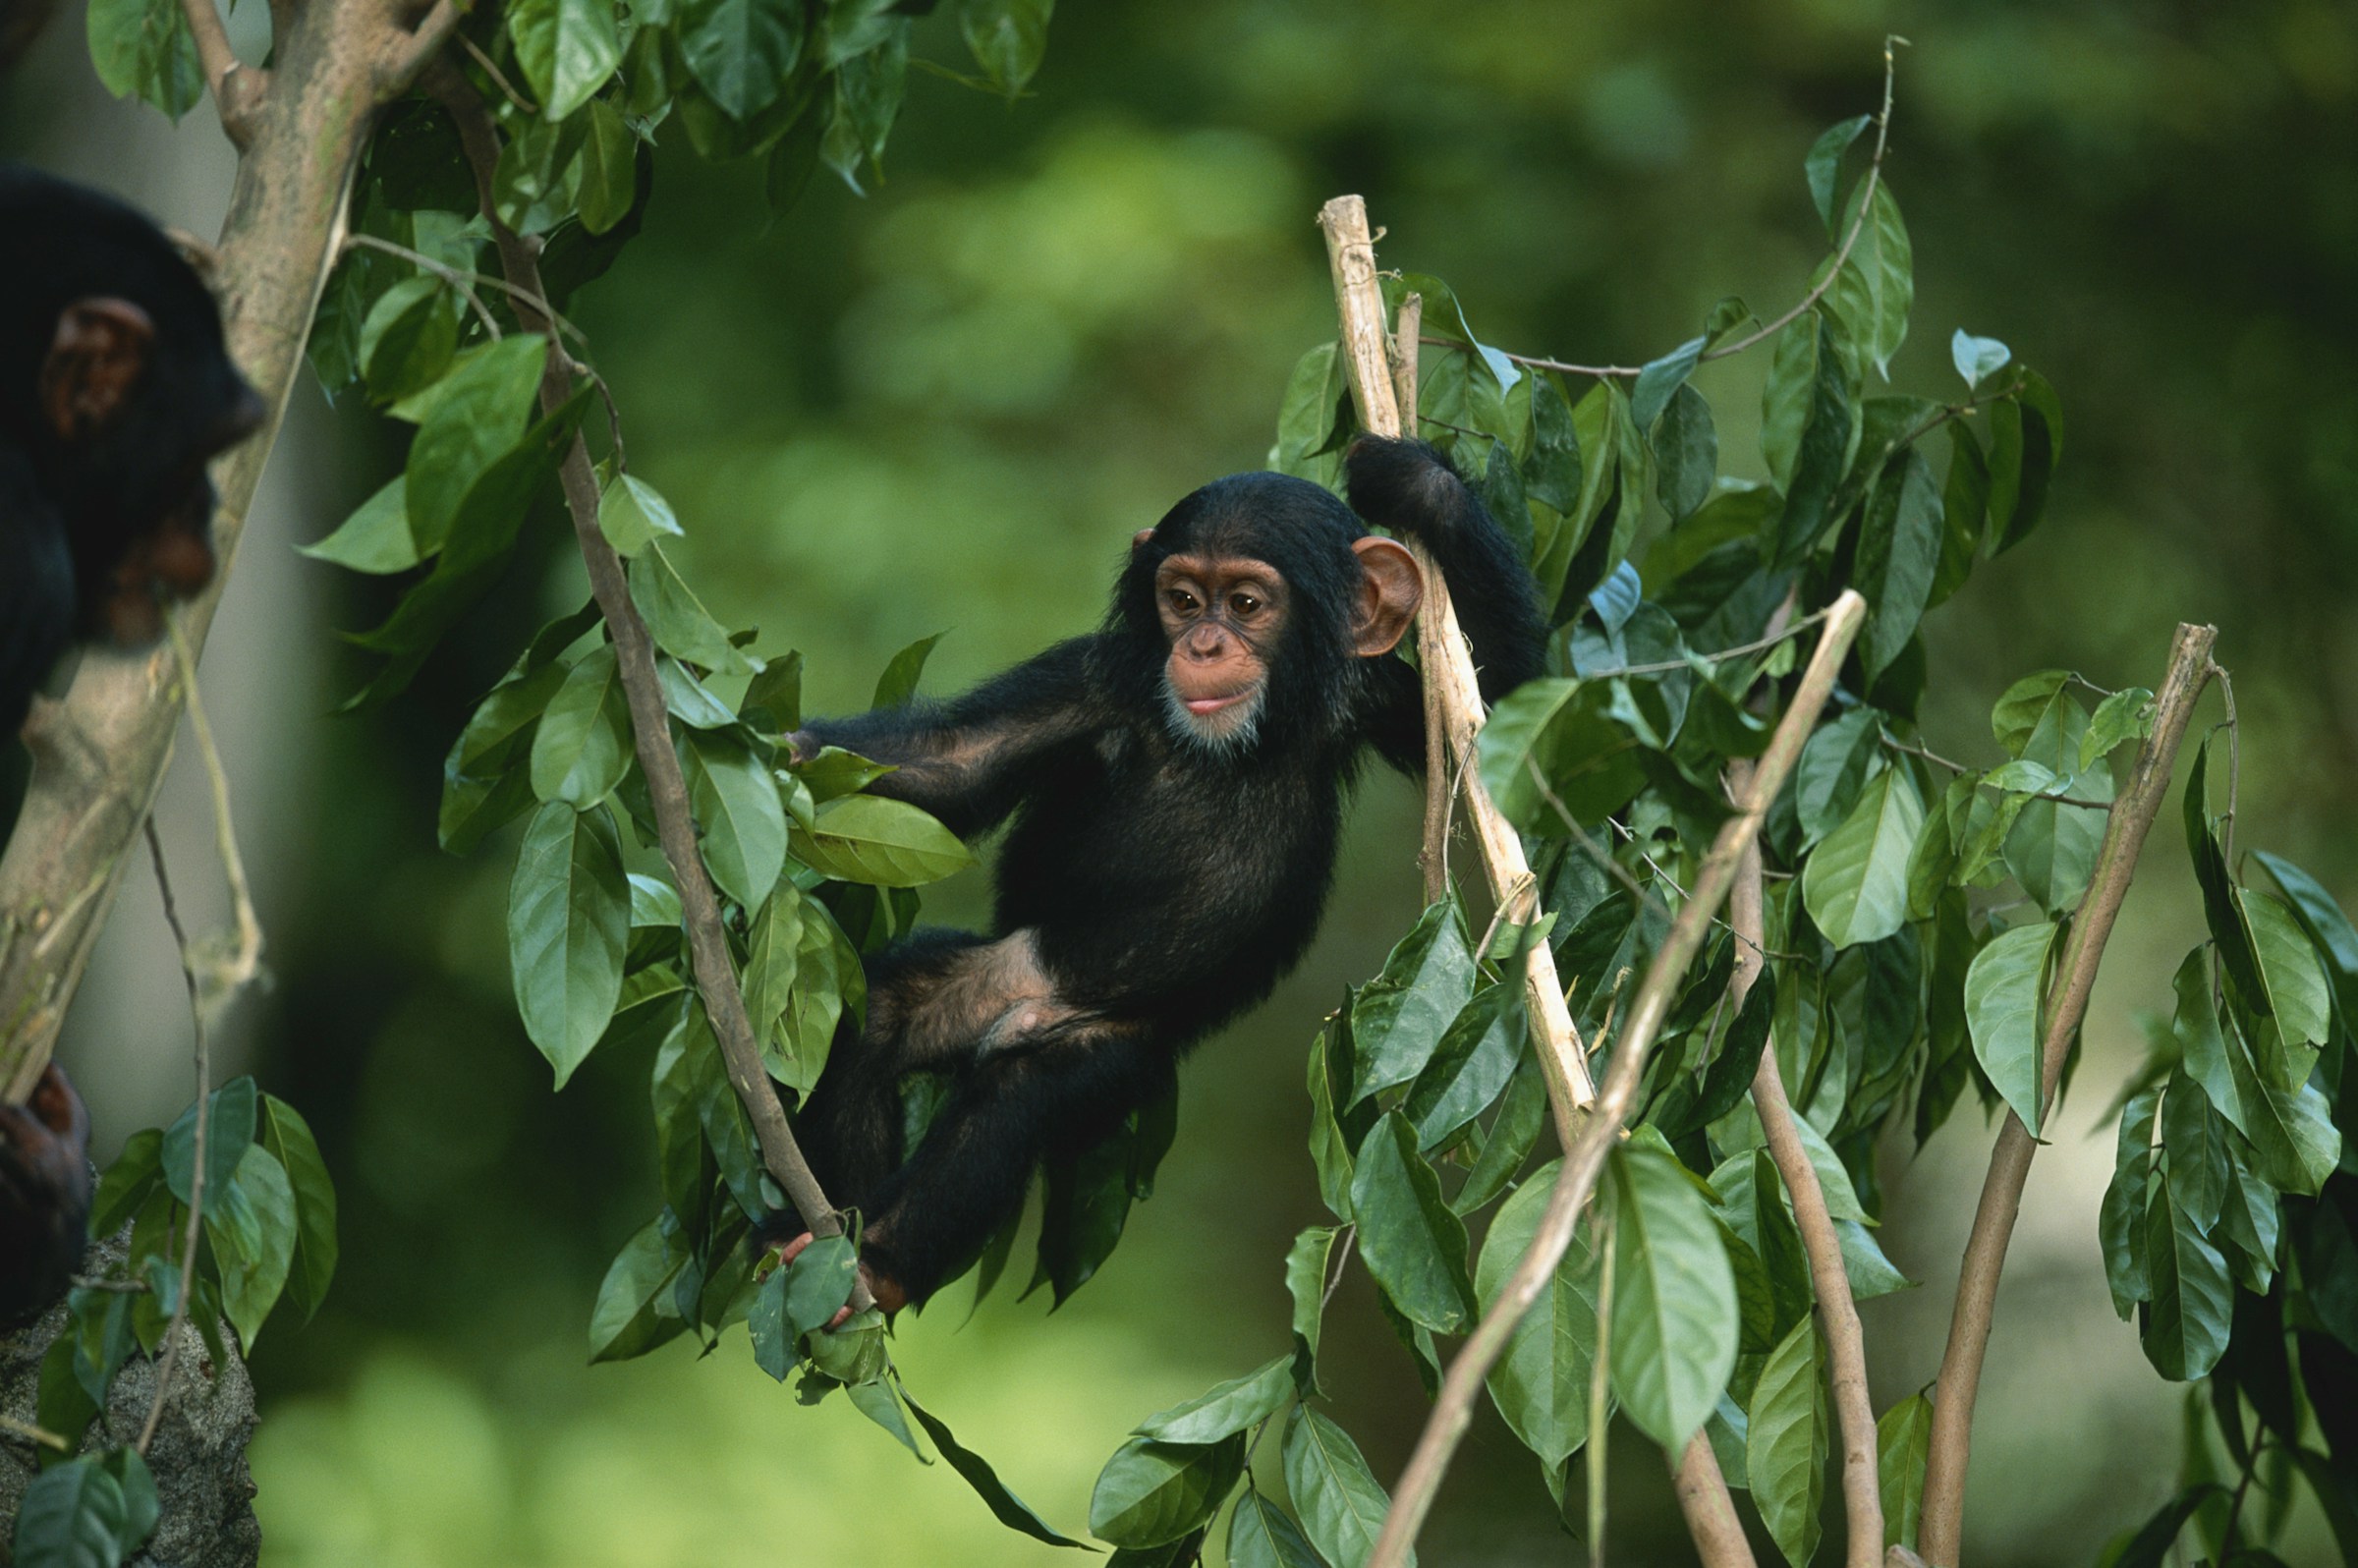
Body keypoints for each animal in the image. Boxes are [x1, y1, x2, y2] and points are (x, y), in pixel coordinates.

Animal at [774, 436, 1547, 1314]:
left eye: (1245, 603)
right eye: (1182, 598)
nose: (1203, 645)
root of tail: (1019, 1005)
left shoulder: (1377, 695)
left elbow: (1509, 716)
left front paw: (1417, 484)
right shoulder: (1094, 675)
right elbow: (949, 764)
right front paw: (759, 749)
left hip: (1100, 1044)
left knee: (1014, 1103)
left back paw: (878, 1259)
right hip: (1002, 969)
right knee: (877, 1016)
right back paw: (828, 1240)